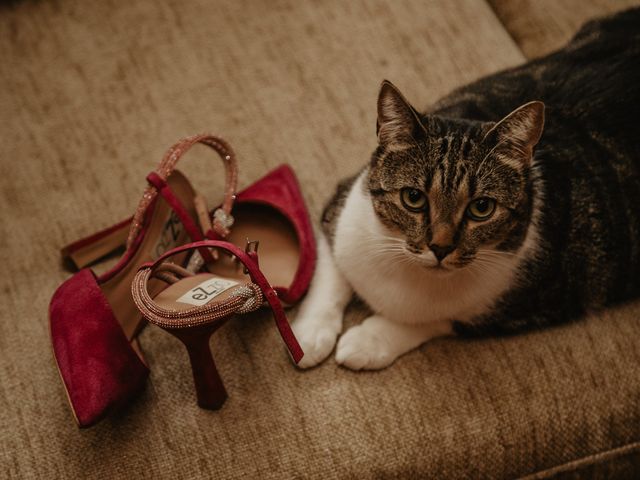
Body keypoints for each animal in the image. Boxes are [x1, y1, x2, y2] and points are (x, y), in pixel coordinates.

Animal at [294, 7, 640, 370]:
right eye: (413, 198)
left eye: (481, 208)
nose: (441, 247)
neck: (405, 267)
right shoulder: (341, 204)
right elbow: (329, 273)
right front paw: (309, 336)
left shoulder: (537, 303)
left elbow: (438, 320)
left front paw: (368, 341)